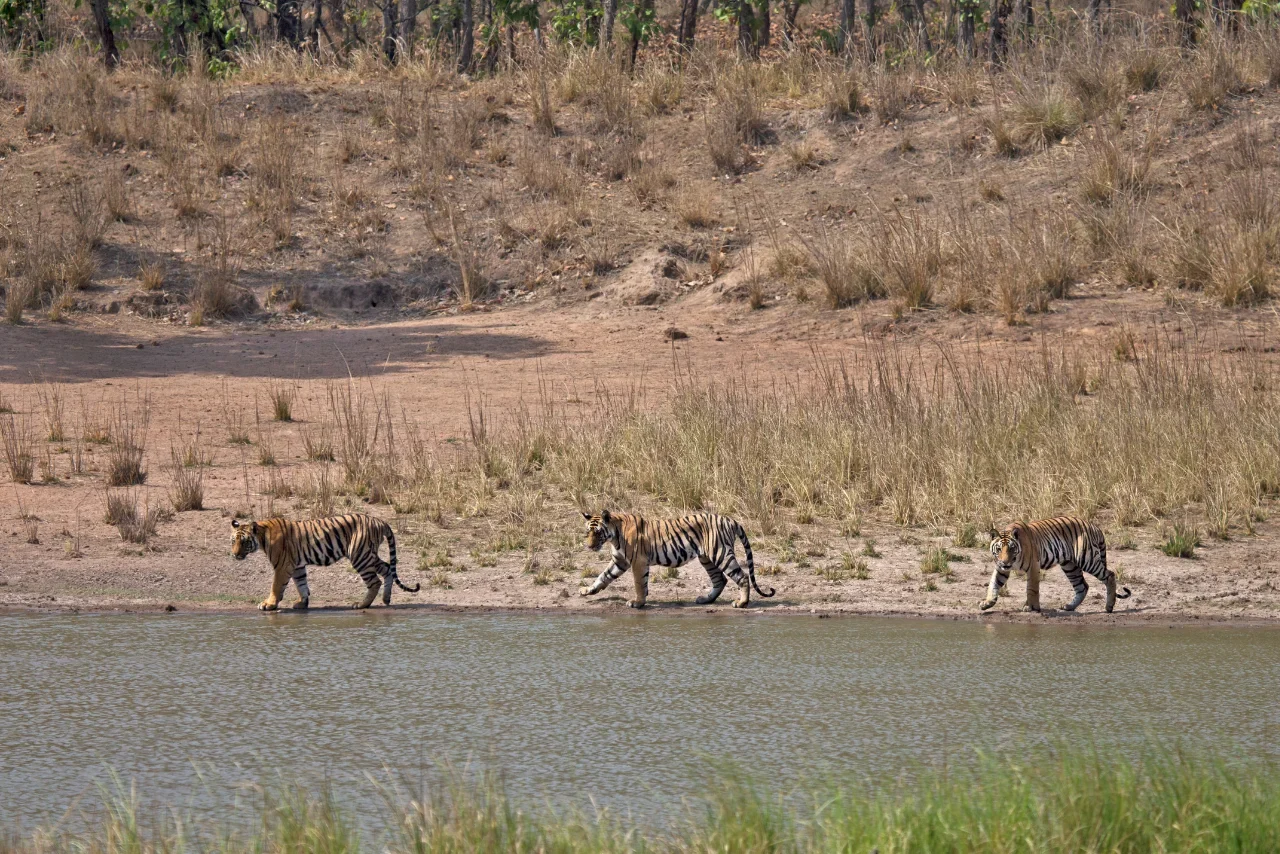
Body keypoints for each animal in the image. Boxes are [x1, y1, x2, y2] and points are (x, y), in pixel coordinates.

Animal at [230, 513, 420, 611]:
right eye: (233, 541)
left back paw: (361, 604)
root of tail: (380, 521)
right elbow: (301, 584)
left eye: (244, 542)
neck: (262, 536)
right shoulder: (297, 566)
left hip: (360, 556)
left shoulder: (282, 566)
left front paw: (268, 604)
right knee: (387, 569)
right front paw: (302, 603)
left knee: (375, 581)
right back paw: (386, 599)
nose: (234, 554)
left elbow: (276, 586)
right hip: (368, 555)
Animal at [580, 510, 775, 609]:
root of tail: (730, 520)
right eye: (587, 532)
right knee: (720, 579)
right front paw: (587, 590)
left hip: (720, 553)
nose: (589, 547)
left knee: (742, 577)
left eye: (598, 532)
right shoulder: (620, 561)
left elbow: (639, 583)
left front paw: (638, 602)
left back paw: (741, 603)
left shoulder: (638, 562)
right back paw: (705, 600)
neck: (614, 535)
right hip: (707, 558)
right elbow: (603, 576)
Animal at [980, 516, 1131, 614]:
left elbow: (1032, 589)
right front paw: (987, 603)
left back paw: (1109, 607)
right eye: (999, 549)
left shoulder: (1033, 567)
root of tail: (1094, 526)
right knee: (1082, 586)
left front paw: (1032, 607)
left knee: (1109, 575)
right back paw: (1069, 607)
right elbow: (993, 584)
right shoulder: (1001, 569)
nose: (1005, 562)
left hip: (1088, 560)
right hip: (1070, 566)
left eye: (1012, 548)